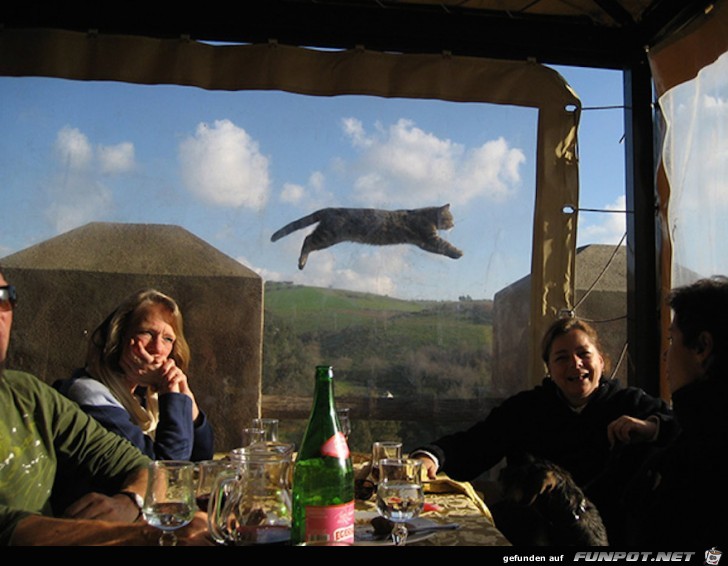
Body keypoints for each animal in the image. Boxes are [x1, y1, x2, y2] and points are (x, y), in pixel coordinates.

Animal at [270, 204, 464, 270]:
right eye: (450, 218)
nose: (454, 225)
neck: (427, 215)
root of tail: (329, 209)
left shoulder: (424, 242)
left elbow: (440, 248)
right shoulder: (429, 237)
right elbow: (444, 245)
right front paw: (458, 252)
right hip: (327, 235)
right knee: (308, 240)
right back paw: (301, 262)